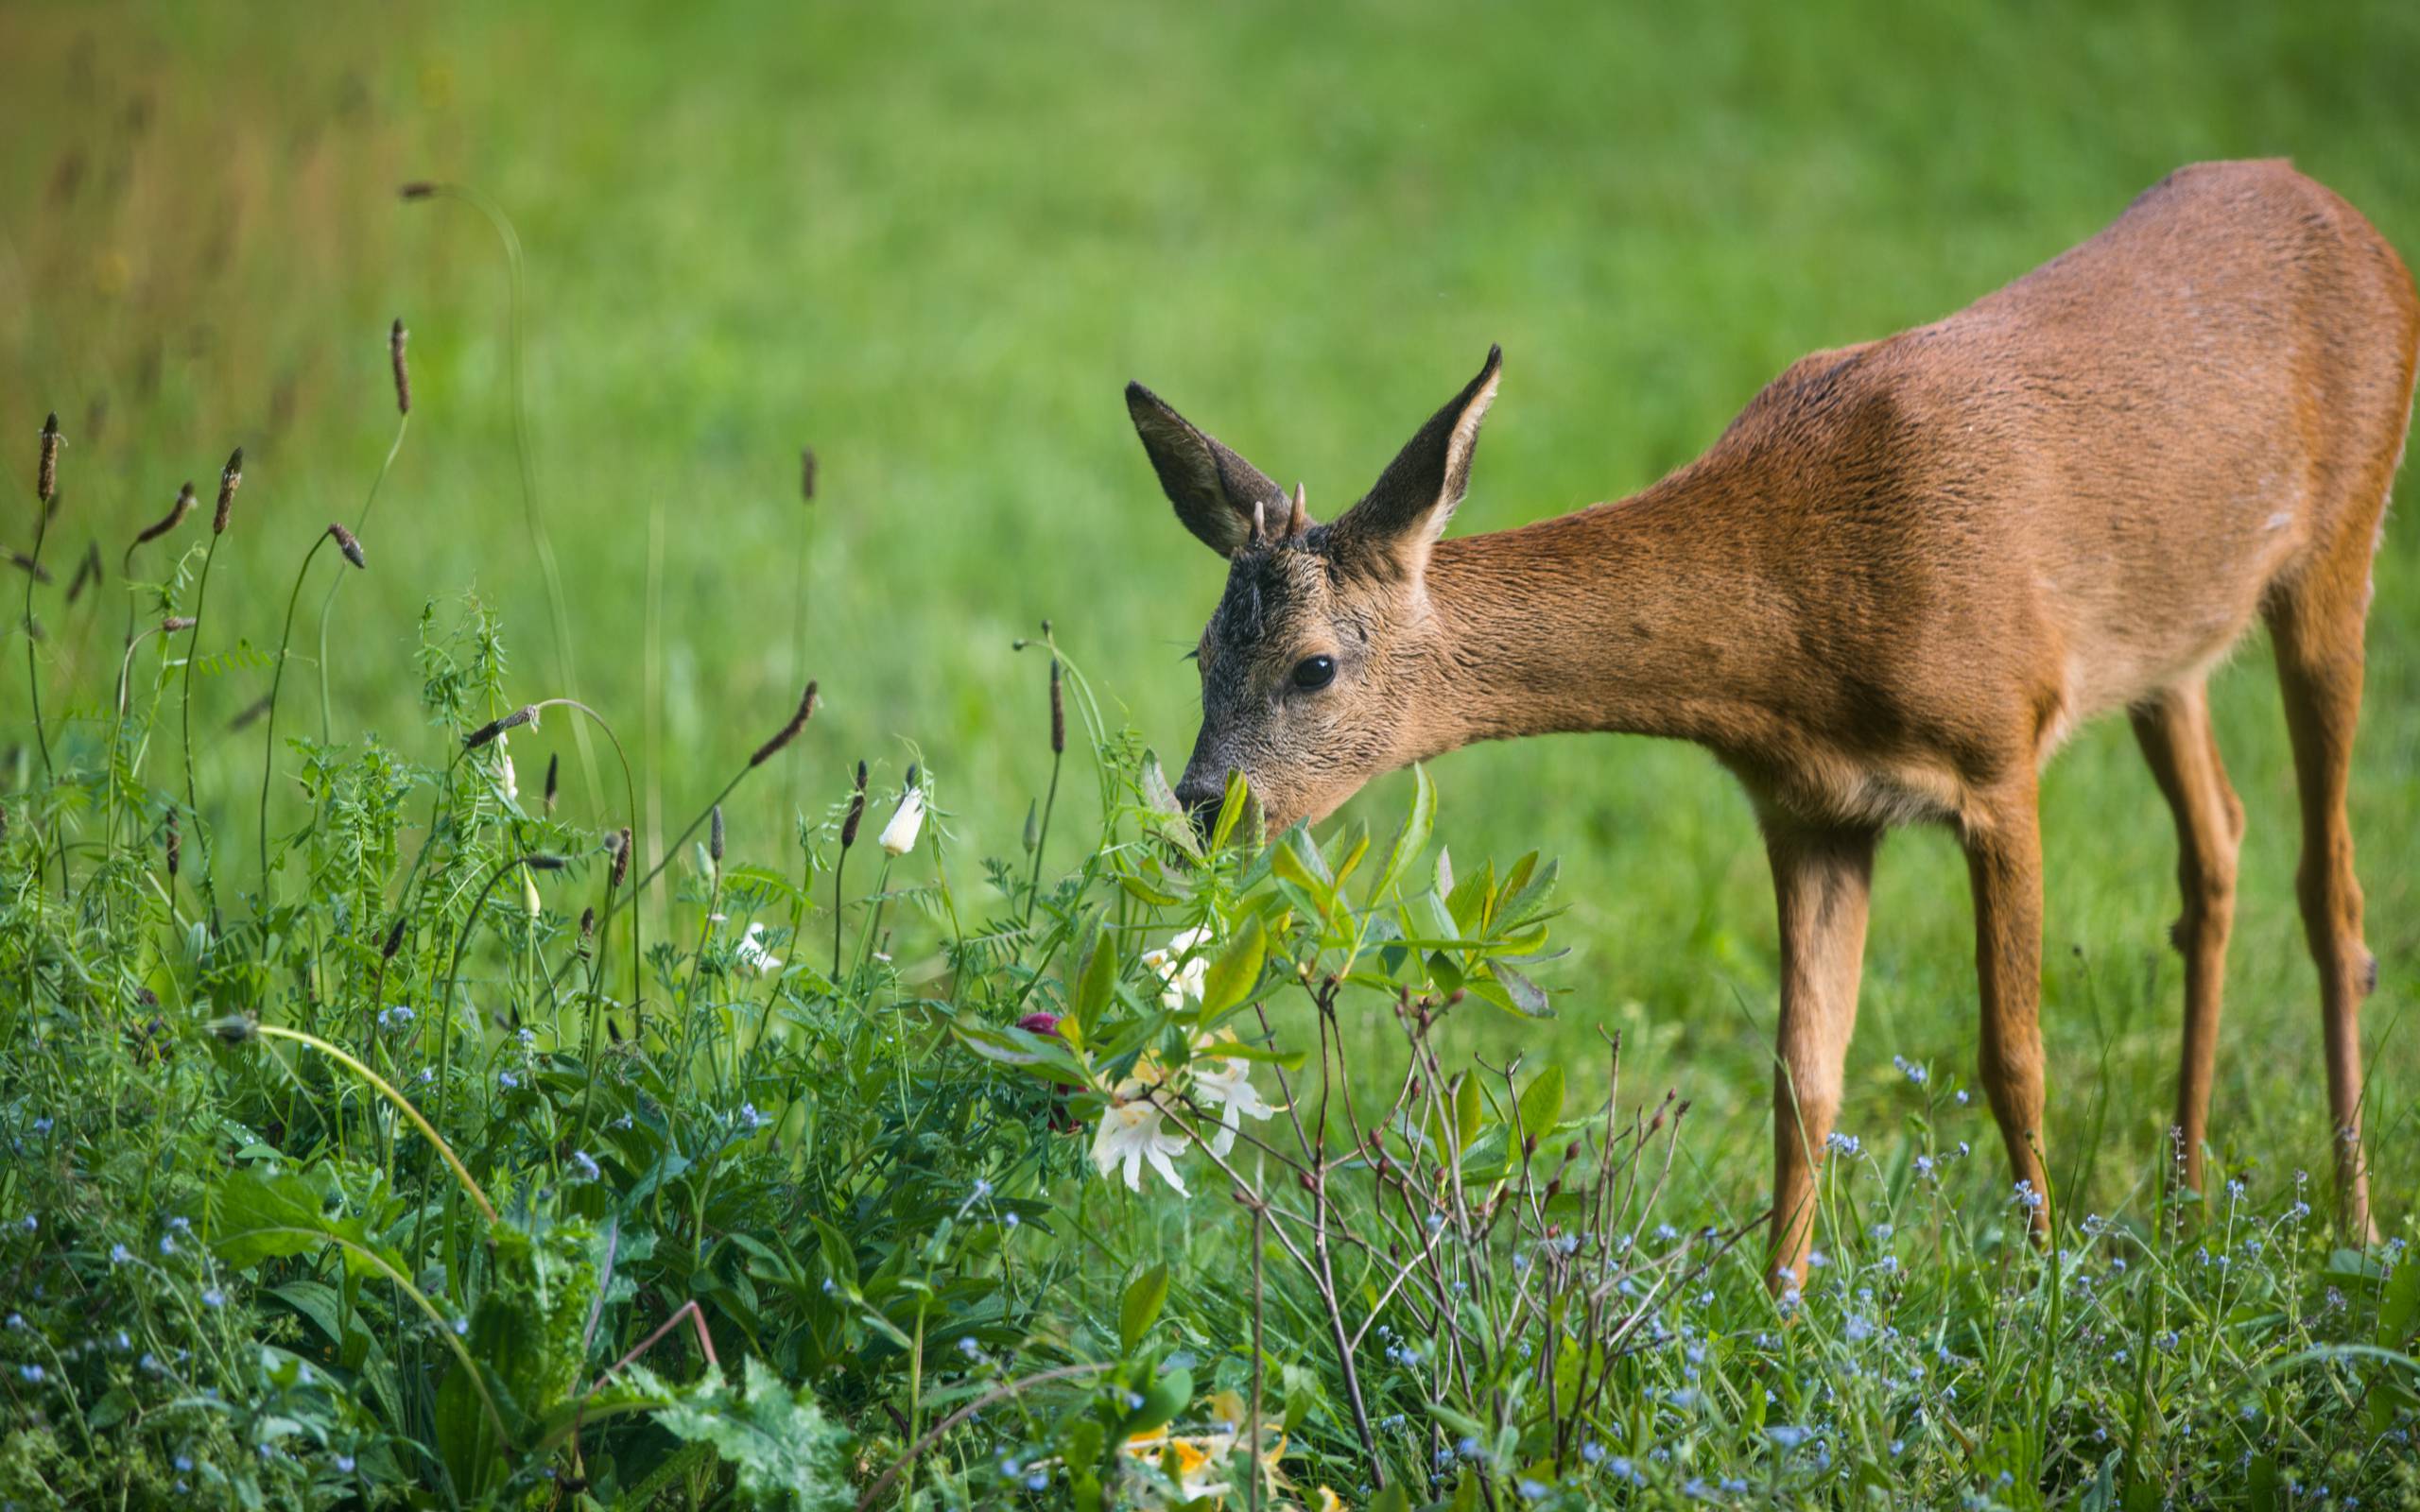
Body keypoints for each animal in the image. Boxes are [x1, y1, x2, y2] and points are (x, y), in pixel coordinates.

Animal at [1122, 159, 2410, 1277]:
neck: (1803, 607)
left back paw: (2353, 1228)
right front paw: (1781, 1310)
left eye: (1313, 667)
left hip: (2340, 551)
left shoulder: (2001, 752)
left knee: (2333, 886)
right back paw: (2190, 1198)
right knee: (2216, 842)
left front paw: (2041, 1291)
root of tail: (2349, 217)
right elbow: (1804, 1074)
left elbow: (2013, 1054)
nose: (1197, 810)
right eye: (1200, 654)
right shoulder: (1810, 807)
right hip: (2169, 651)